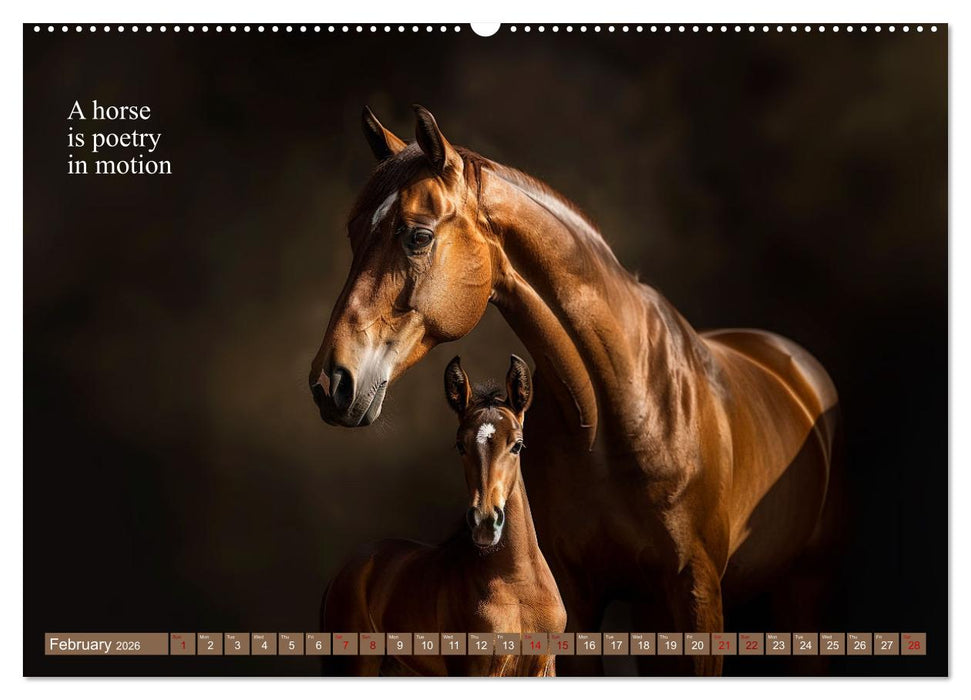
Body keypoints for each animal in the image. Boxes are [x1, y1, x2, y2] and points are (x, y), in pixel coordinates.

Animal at [320, 355, 566, 676]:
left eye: (517, 445)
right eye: (460, 445)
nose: (485, 523)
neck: (517, 583)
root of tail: (348, 568)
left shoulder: (545, 666)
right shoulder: (472, 669)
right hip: (357, 664)